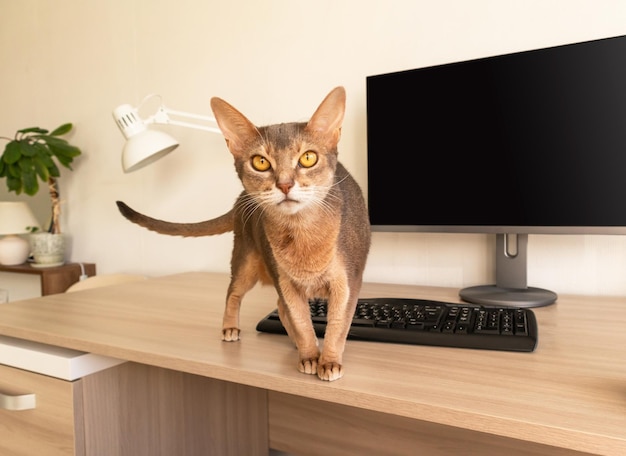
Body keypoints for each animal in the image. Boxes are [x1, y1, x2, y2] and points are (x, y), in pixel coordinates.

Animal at [116, 86, 368, 382]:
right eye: (260, 162)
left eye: (308, 158)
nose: (285, 184)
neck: (301, 233)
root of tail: (240, 199)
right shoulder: (286, 282)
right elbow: (302, 320)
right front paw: (309, 355)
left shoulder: (348, 282)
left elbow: (337, 324)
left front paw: (328, 361)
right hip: (246, 259)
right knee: (235, 293)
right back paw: (232, 328)